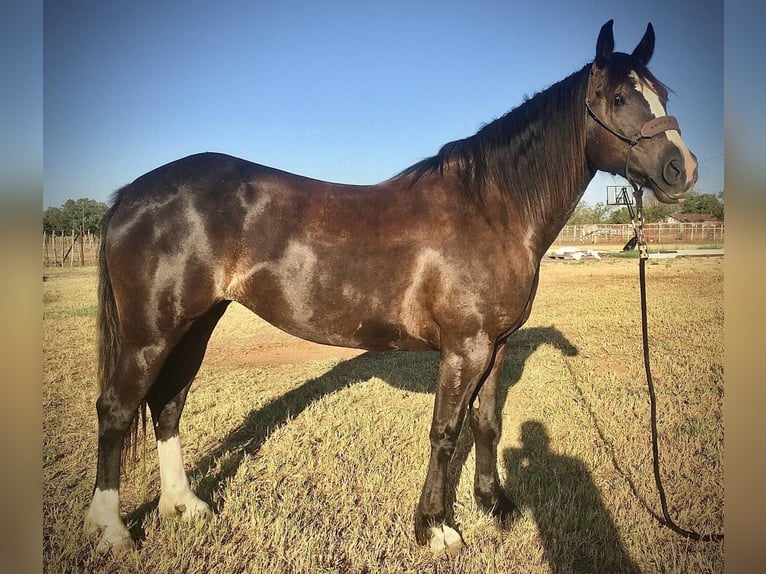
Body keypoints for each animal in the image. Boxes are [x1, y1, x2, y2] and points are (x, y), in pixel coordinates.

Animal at [87, 20, 700, 556]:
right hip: (149, 334)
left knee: (168, 404)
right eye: (619, 98)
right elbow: (445, 431)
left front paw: (494, 506)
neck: (492, 208)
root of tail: (128, 196)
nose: (682, 169)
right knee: (117, 409)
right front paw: (437, 527)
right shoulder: (464, 347)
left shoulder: (496, 346)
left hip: (195, 323)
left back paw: (184, 505)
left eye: (663, 93)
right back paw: (111, 530)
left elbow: (487, 423)